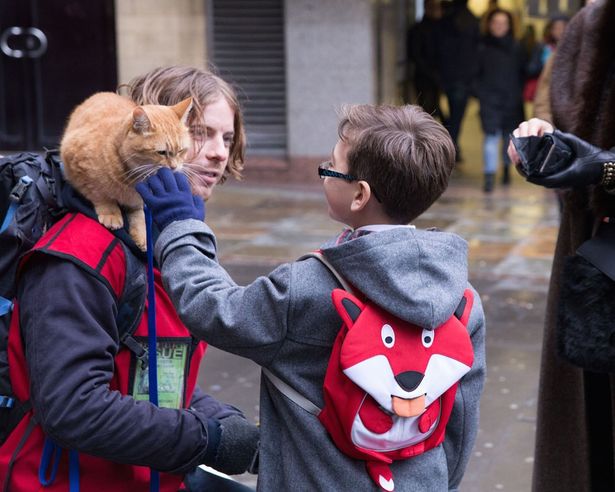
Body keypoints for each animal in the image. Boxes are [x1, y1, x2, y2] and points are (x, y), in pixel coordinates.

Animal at [60, 92, 191, 250]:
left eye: (181, 151)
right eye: (161, 152)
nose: (174, 167)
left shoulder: (138, 200)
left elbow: (138, 213)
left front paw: (142, 233)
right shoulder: (78, 165)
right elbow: (100, 194)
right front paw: (111, 213)